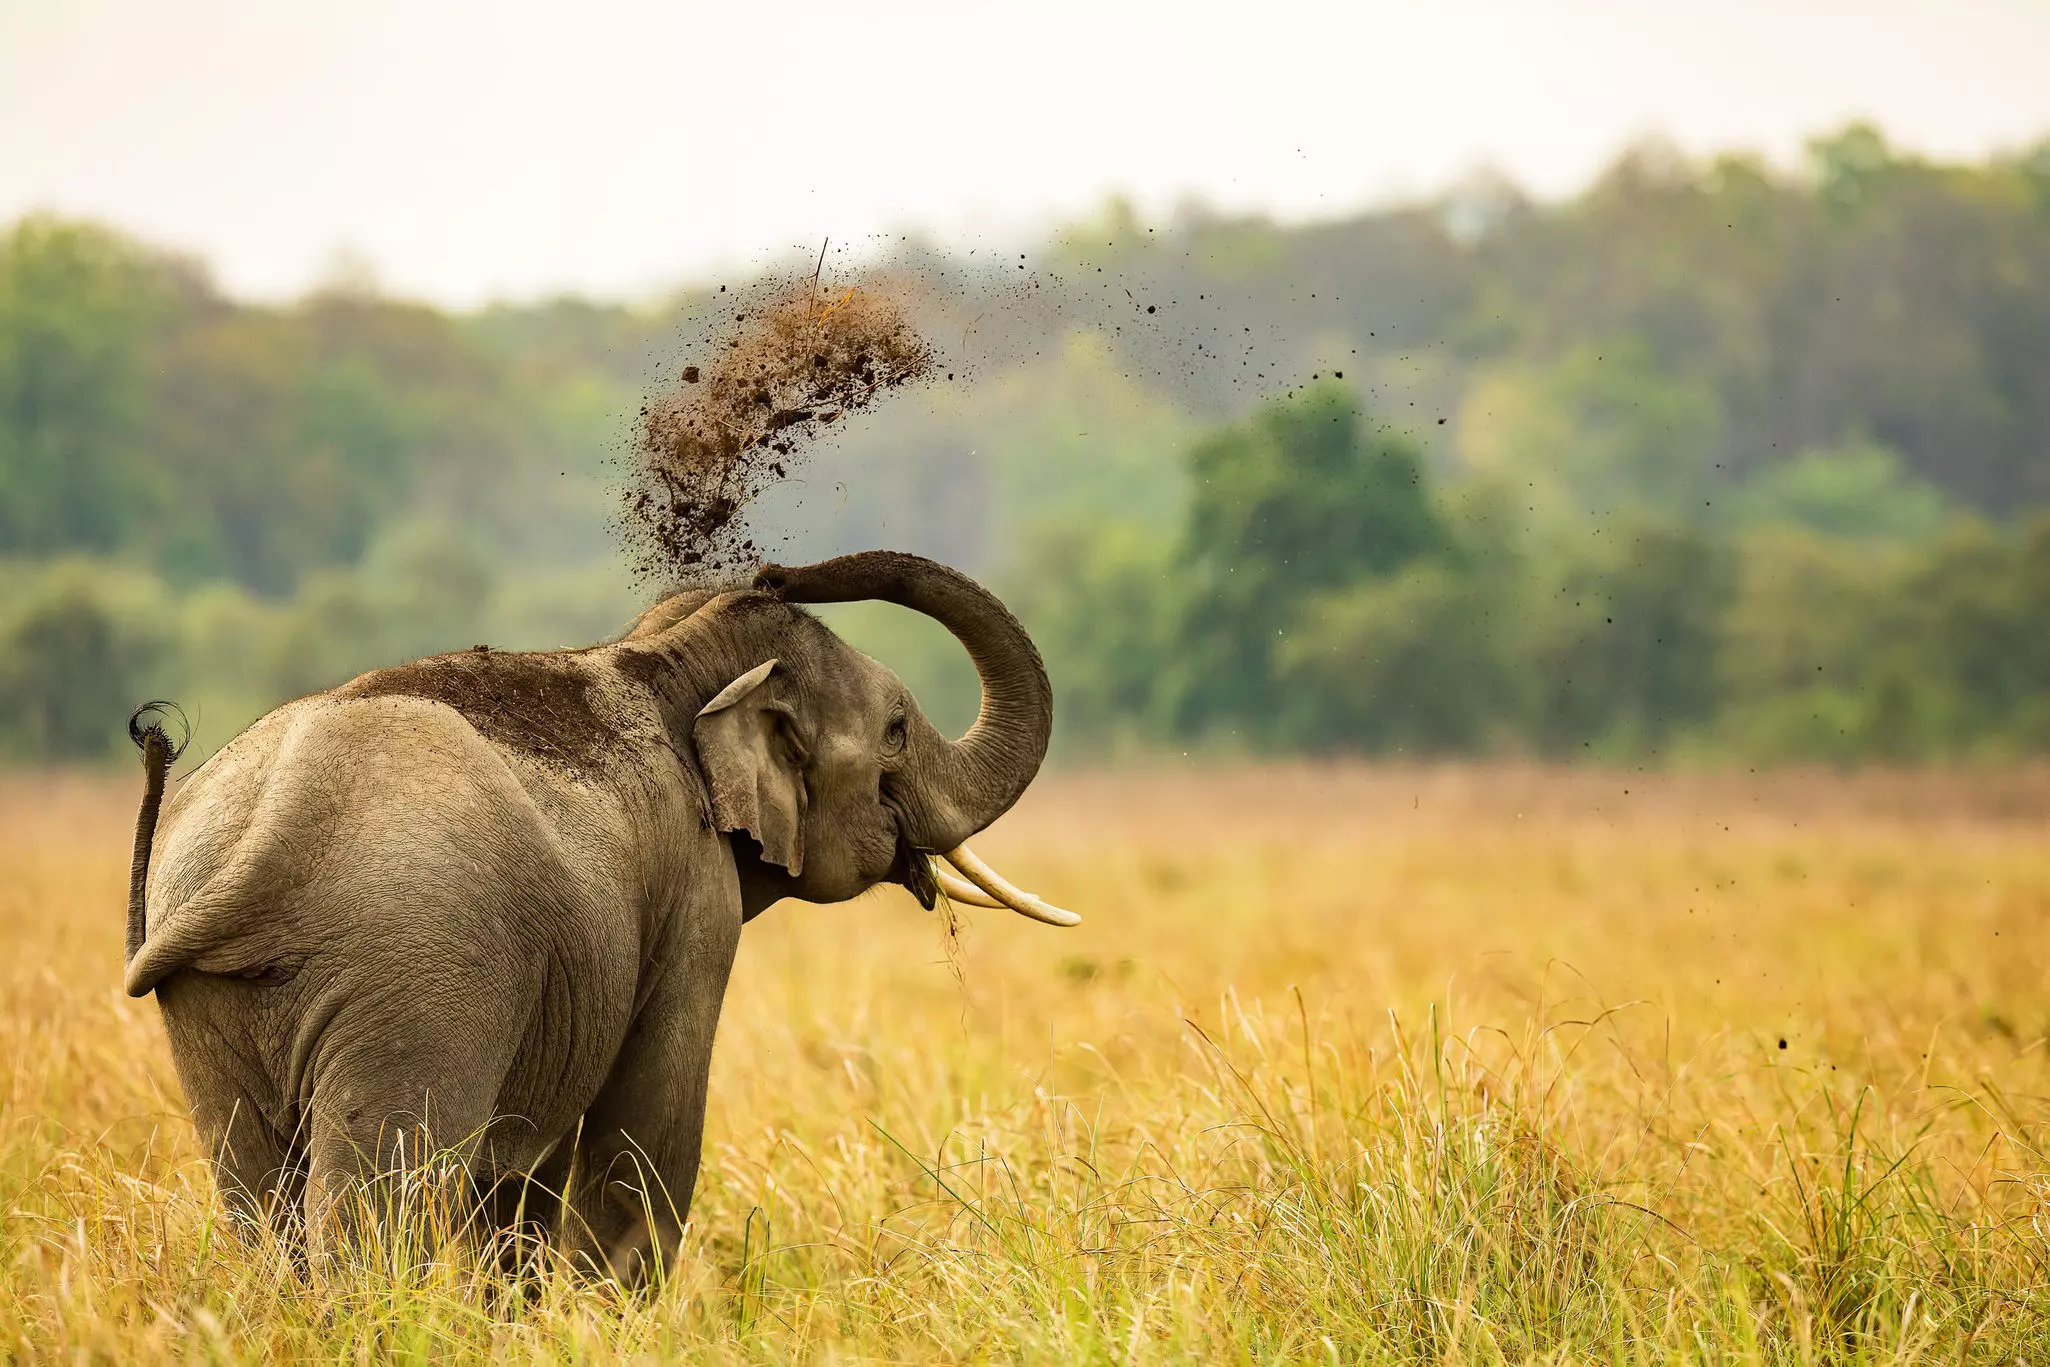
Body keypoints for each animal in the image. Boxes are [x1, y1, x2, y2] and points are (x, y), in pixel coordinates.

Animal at [120, 550, 1077, 1278]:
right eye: (897, 729)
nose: (778, 568)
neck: (666, 655)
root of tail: (272, 829)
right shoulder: (694, 890)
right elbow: (651, 1114)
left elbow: (525, 1170)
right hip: (417, 975)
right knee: (379, 1200)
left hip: (214, 1002)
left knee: (259, 1202)